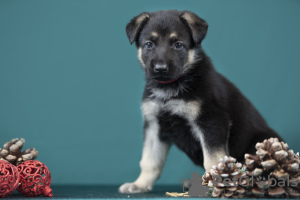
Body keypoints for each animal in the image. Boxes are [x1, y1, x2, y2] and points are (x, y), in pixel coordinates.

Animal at [118, 9, 282, 194]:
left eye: (178, 45)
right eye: (149, 44)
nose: (160, 69)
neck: (170, 88)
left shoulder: (211, 122)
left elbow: (213, 160)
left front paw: (214, 185)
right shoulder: (154, 125)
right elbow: (149, 160)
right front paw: (140, 184)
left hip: (261, 140)